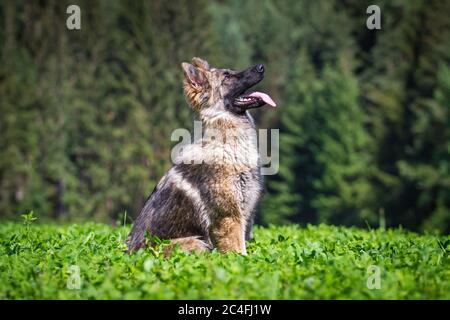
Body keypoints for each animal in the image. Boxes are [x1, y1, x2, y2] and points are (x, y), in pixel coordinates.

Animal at [125, 57, 276, 255]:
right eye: (227, 76)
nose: (261, 67)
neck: (227, 143)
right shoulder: (229, 218)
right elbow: (239, 253)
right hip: (196, 243)